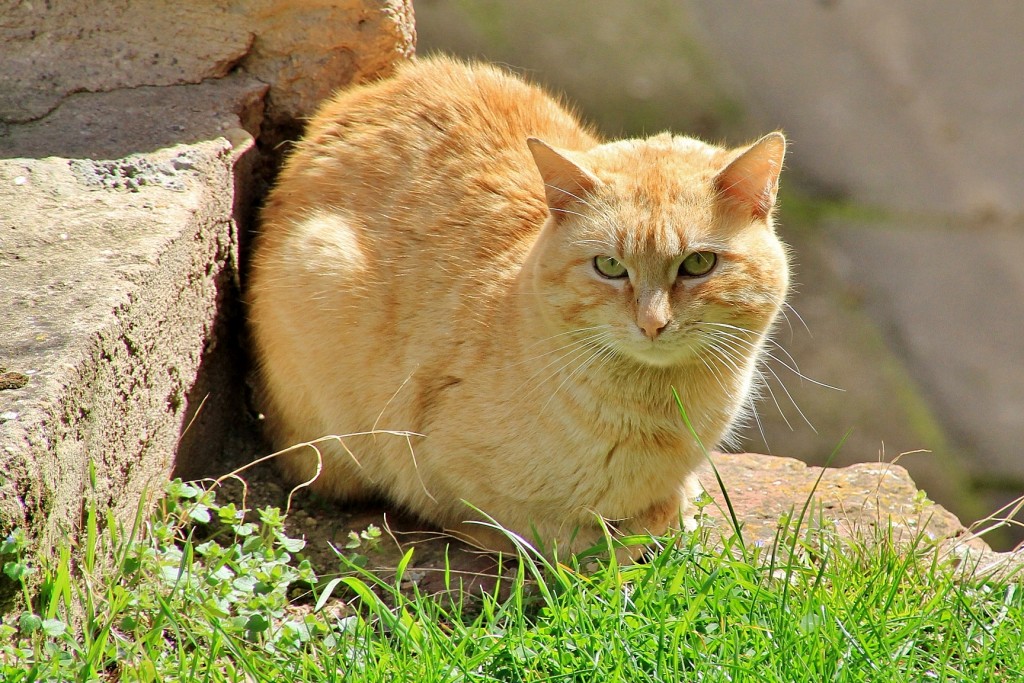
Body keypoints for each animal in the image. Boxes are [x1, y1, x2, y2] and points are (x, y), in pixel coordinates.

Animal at [249, 56, 790, 557]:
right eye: (609, 266)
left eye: (697, 264)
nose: (652, 323)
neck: (659, 410)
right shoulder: (439, 470)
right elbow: (569, 536)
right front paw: (643, 526)